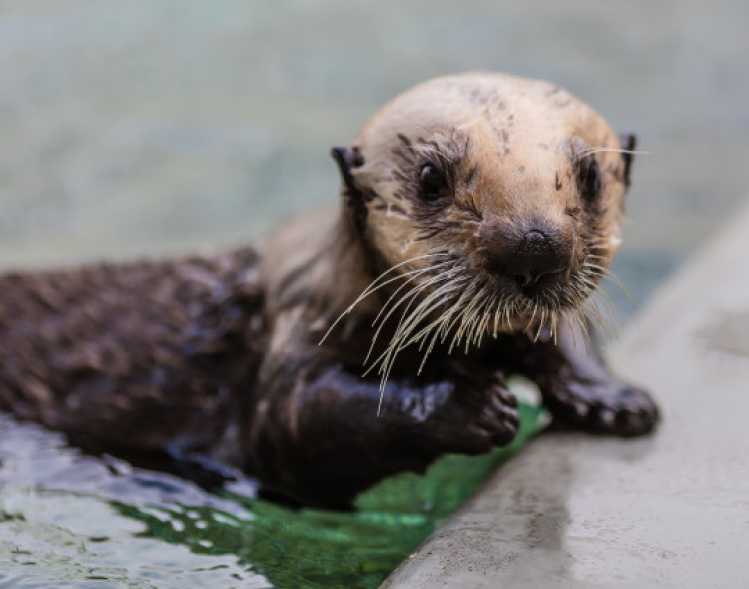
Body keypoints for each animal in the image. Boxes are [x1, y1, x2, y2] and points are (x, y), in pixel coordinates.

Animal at [0, 72, 658, 507]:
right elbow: (303, 422)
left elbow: (560, 330)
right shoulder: (294, 332)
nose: (533, 246)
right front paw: (467, 406)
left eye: (591, 175)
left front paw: (615, 399)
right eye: (431, 177)